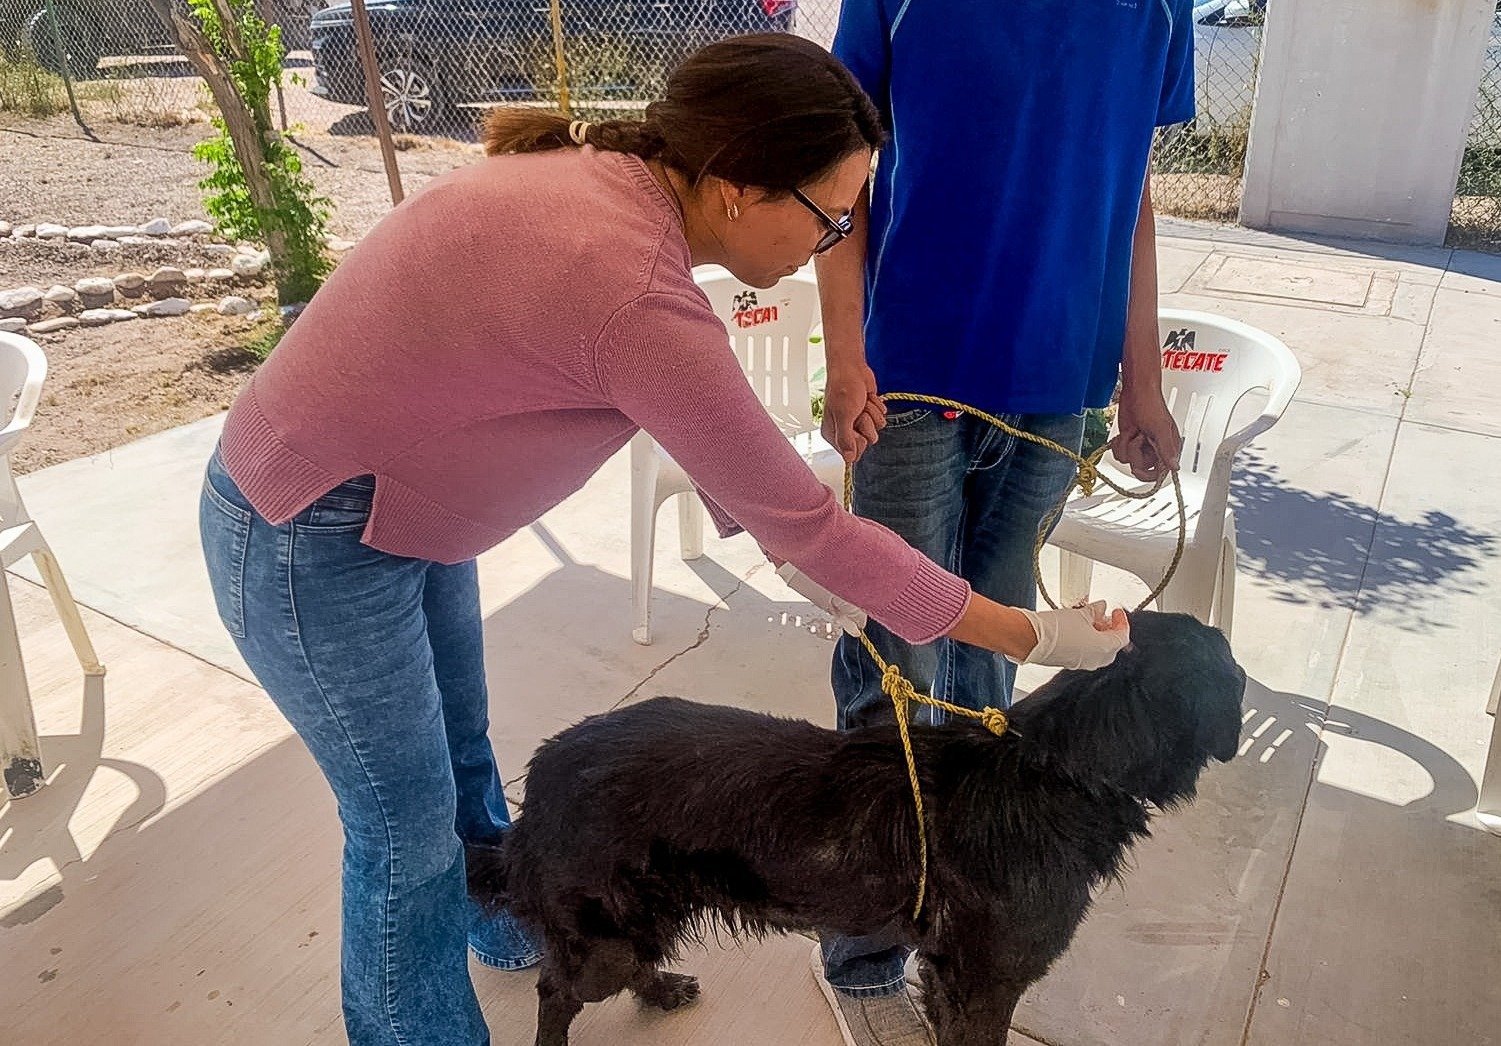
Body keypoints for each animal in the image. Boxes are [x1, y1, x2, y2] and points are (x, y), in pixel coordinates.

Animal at [468, 610, 1247, 1045]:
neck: (1057, 761)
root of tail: (543, 775)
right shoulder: (984, 981)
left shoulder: (944, 973)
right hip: (605, 933)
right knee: (556, 993)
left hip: (638, 922)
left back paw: (662, 992)